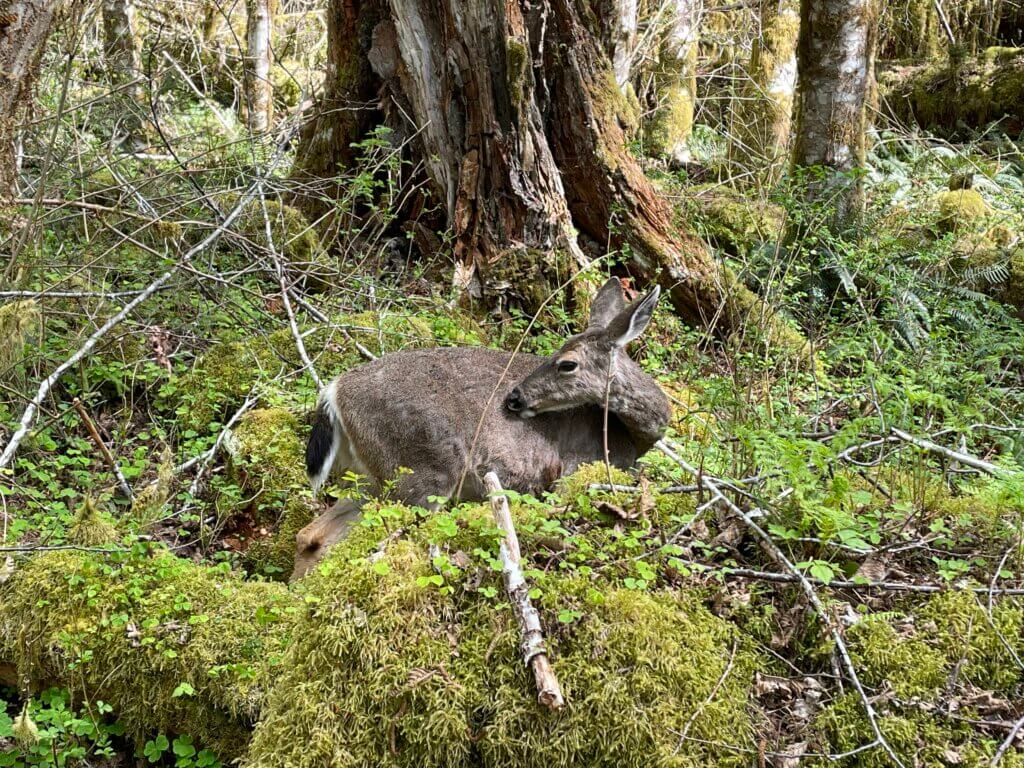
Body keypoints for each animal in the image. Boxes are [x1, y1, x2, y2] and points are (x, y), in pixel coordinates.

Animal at [291, 277, 672, 580]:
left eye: (567, 363)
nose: (514, 397)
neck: (631, 436)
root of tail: (333, 391)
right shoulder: (574, 472)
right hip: (421, 474)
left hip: (370, 478)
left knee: (311, 536)